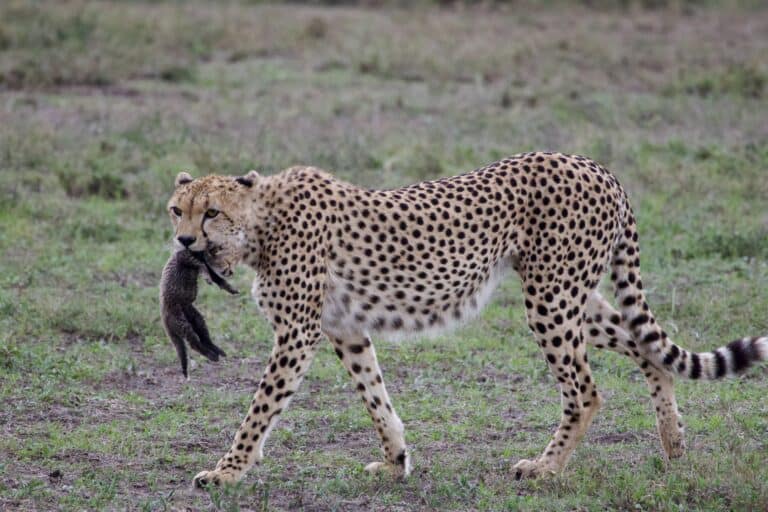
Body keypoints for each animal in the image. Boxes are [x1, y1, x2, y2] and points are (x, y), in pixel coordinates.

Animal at [164, 152, 768, 486]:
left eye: (211, 211)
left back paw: (546, 468)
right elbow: (376, 398)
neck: (260, 223)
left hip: (550, 299)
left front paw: (227, 470)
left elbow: (260, 408)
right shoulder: (345, 329)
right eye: (177, 209)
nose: (184, 242)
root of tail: (597, 167)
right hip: (572, 296)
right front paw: (396, 462)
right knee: (646, 346)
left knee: (587, 390)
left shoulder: (298, 332)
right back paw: (673, 442)